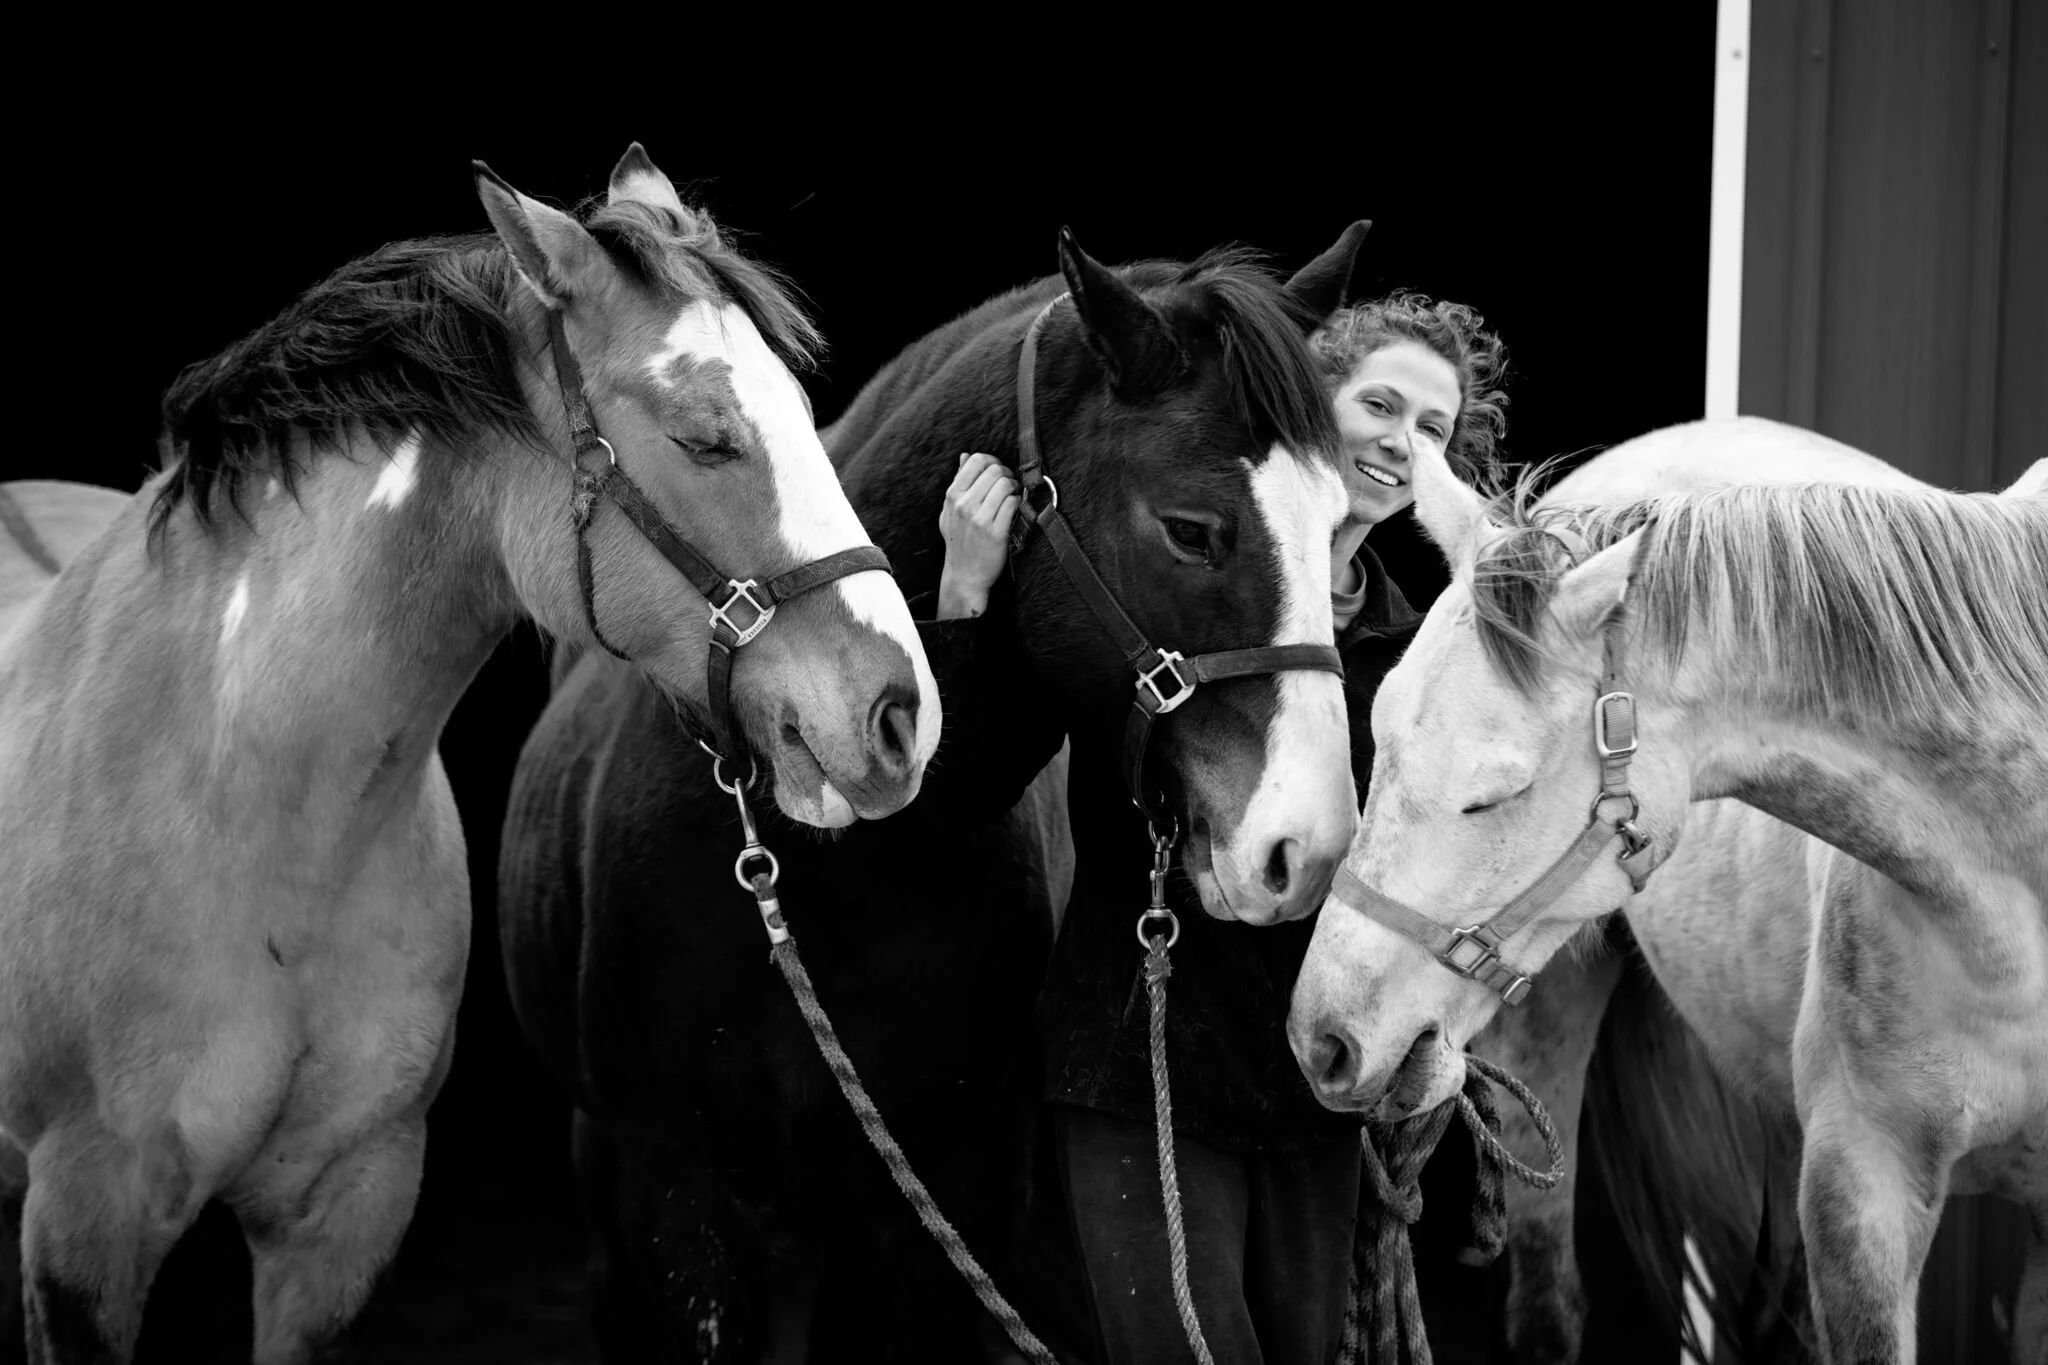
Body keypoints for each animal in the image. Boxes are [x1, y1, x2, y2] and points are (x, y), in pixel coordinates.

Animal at [496, 222, 1371, 1360]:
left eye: (1339, 535)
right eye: (1191, 529)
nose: (1307, 848)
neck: (841, 869)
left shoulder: (954, 1197)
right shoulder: (677, 1192)